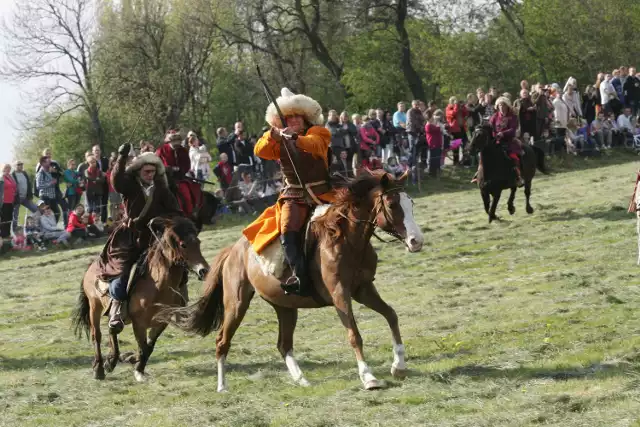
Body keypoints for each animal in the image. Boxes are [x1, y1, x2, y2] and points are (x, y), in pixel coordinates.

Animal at [73, 219, 209, 382]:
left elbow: (149, 346)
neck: (158, 287)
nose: (204, 270)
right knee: (97, 336)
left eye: (198, 242)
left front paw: (136, 364)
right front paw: (136, 366)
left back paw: (112, 360)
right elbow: (143, 346)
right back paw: (99, 369)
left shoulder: (162, 321)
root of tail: (91, 267)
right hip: (94, 307)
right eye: (183, 245)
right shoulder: (139, 323)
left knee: (113, 330)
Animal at [157, 172, 422, 392]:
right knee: (223, 341)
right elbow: (354, 334)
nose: (416, 241)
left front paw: (399, 366)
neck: (345, 238)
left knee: (284, 345)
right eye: (392, 205)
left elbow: (391, 315)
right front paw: (369, 377)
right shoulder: (340, 294)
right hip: (236, 304)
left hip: (285, 307)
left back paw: (301, 379)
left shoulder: (363, 289)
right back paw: (222, 387)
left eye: (410, 203)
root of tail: (234, 250)